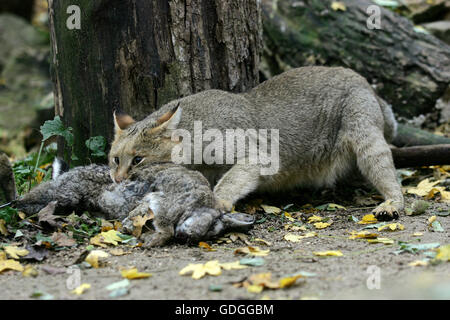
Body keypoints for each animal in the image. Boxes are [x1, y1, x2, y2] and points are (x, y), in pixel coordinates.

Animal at [110, 66, 404, 221]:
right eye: (114, 159)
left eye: (138, 159)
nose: (117, 178)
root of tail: (362, 79)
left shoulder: (258, 156)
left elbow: (228, 180)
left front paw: (218, 201)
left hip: (365, 136)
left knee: (387, 171)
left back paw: (392, 203)